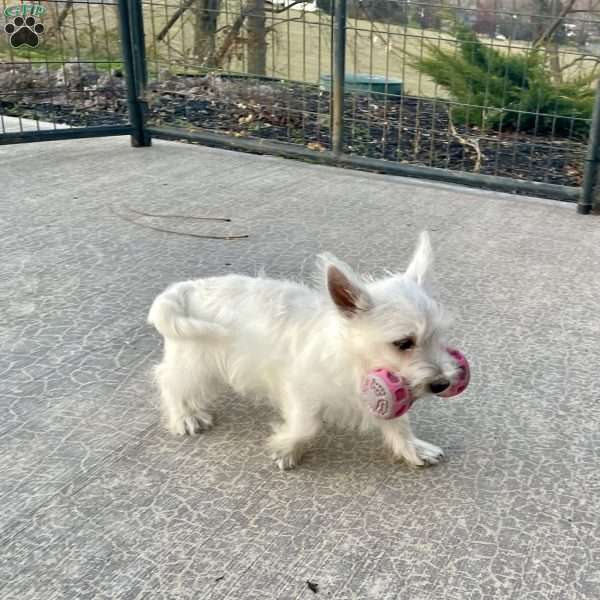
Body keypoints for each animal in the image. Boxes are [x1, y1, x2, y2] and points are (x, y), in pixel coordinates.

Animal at [150, 232, 460, 472]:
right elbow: (307, 426)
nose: (442, 383)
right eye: (404, 343)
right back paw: (184, 416)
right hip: (195, 363)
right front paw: (286, 448)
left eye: (439, 336)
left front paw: (413, 448)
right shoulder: (301, 391)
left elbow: (399, 424)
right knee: (168, 380)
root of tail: (189, 288)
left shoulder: (386, 390)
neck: (351, 357)